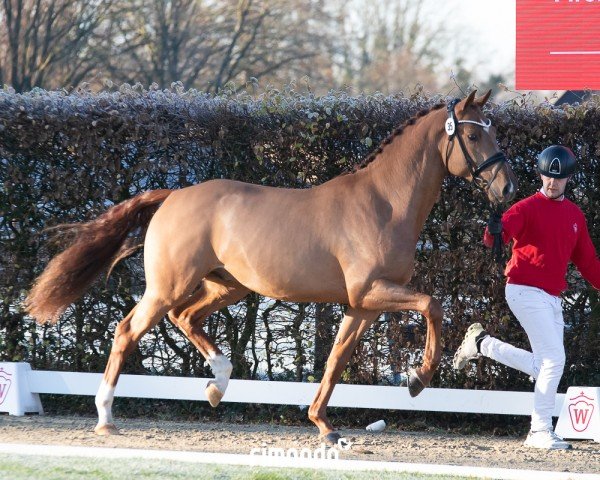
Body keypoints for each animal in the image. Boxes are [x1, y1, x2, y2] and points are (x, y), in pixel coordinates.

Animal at [25, 91, 516, 446]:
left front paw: (324, 426)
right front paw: (418, 379)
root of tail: (172, 195)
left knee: (185, 318)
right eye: (474, 137)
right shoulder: (372, 291)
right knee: (129, 330)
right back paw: (106, 415)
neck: (385, 203)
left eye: (493, 132)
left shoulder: (364, 305)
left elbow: (336, 359)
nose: (507, 187)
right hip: (169, 286)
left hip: (228, 287)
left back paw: (218, 384)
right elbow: (433, 305)